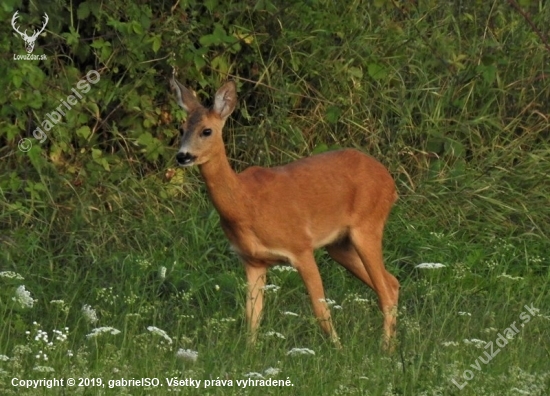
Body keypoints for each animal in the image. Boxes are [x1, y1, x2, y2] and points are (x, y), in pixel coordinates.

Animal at [172, 77, 402, 346]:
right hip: (339, 245)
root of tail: (389, 181)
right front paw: (249, 350)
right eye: (181, 128)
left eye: (206, 131)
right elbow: (252, 316)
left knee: (385, 290)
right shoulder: (253, 261)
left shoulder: (300, 246)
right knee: (392, 282)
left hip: (368, 225)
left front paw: (338, 349)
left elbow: (320, 310)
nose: (183, 156)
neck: (245, 204)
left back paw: (385, 348)